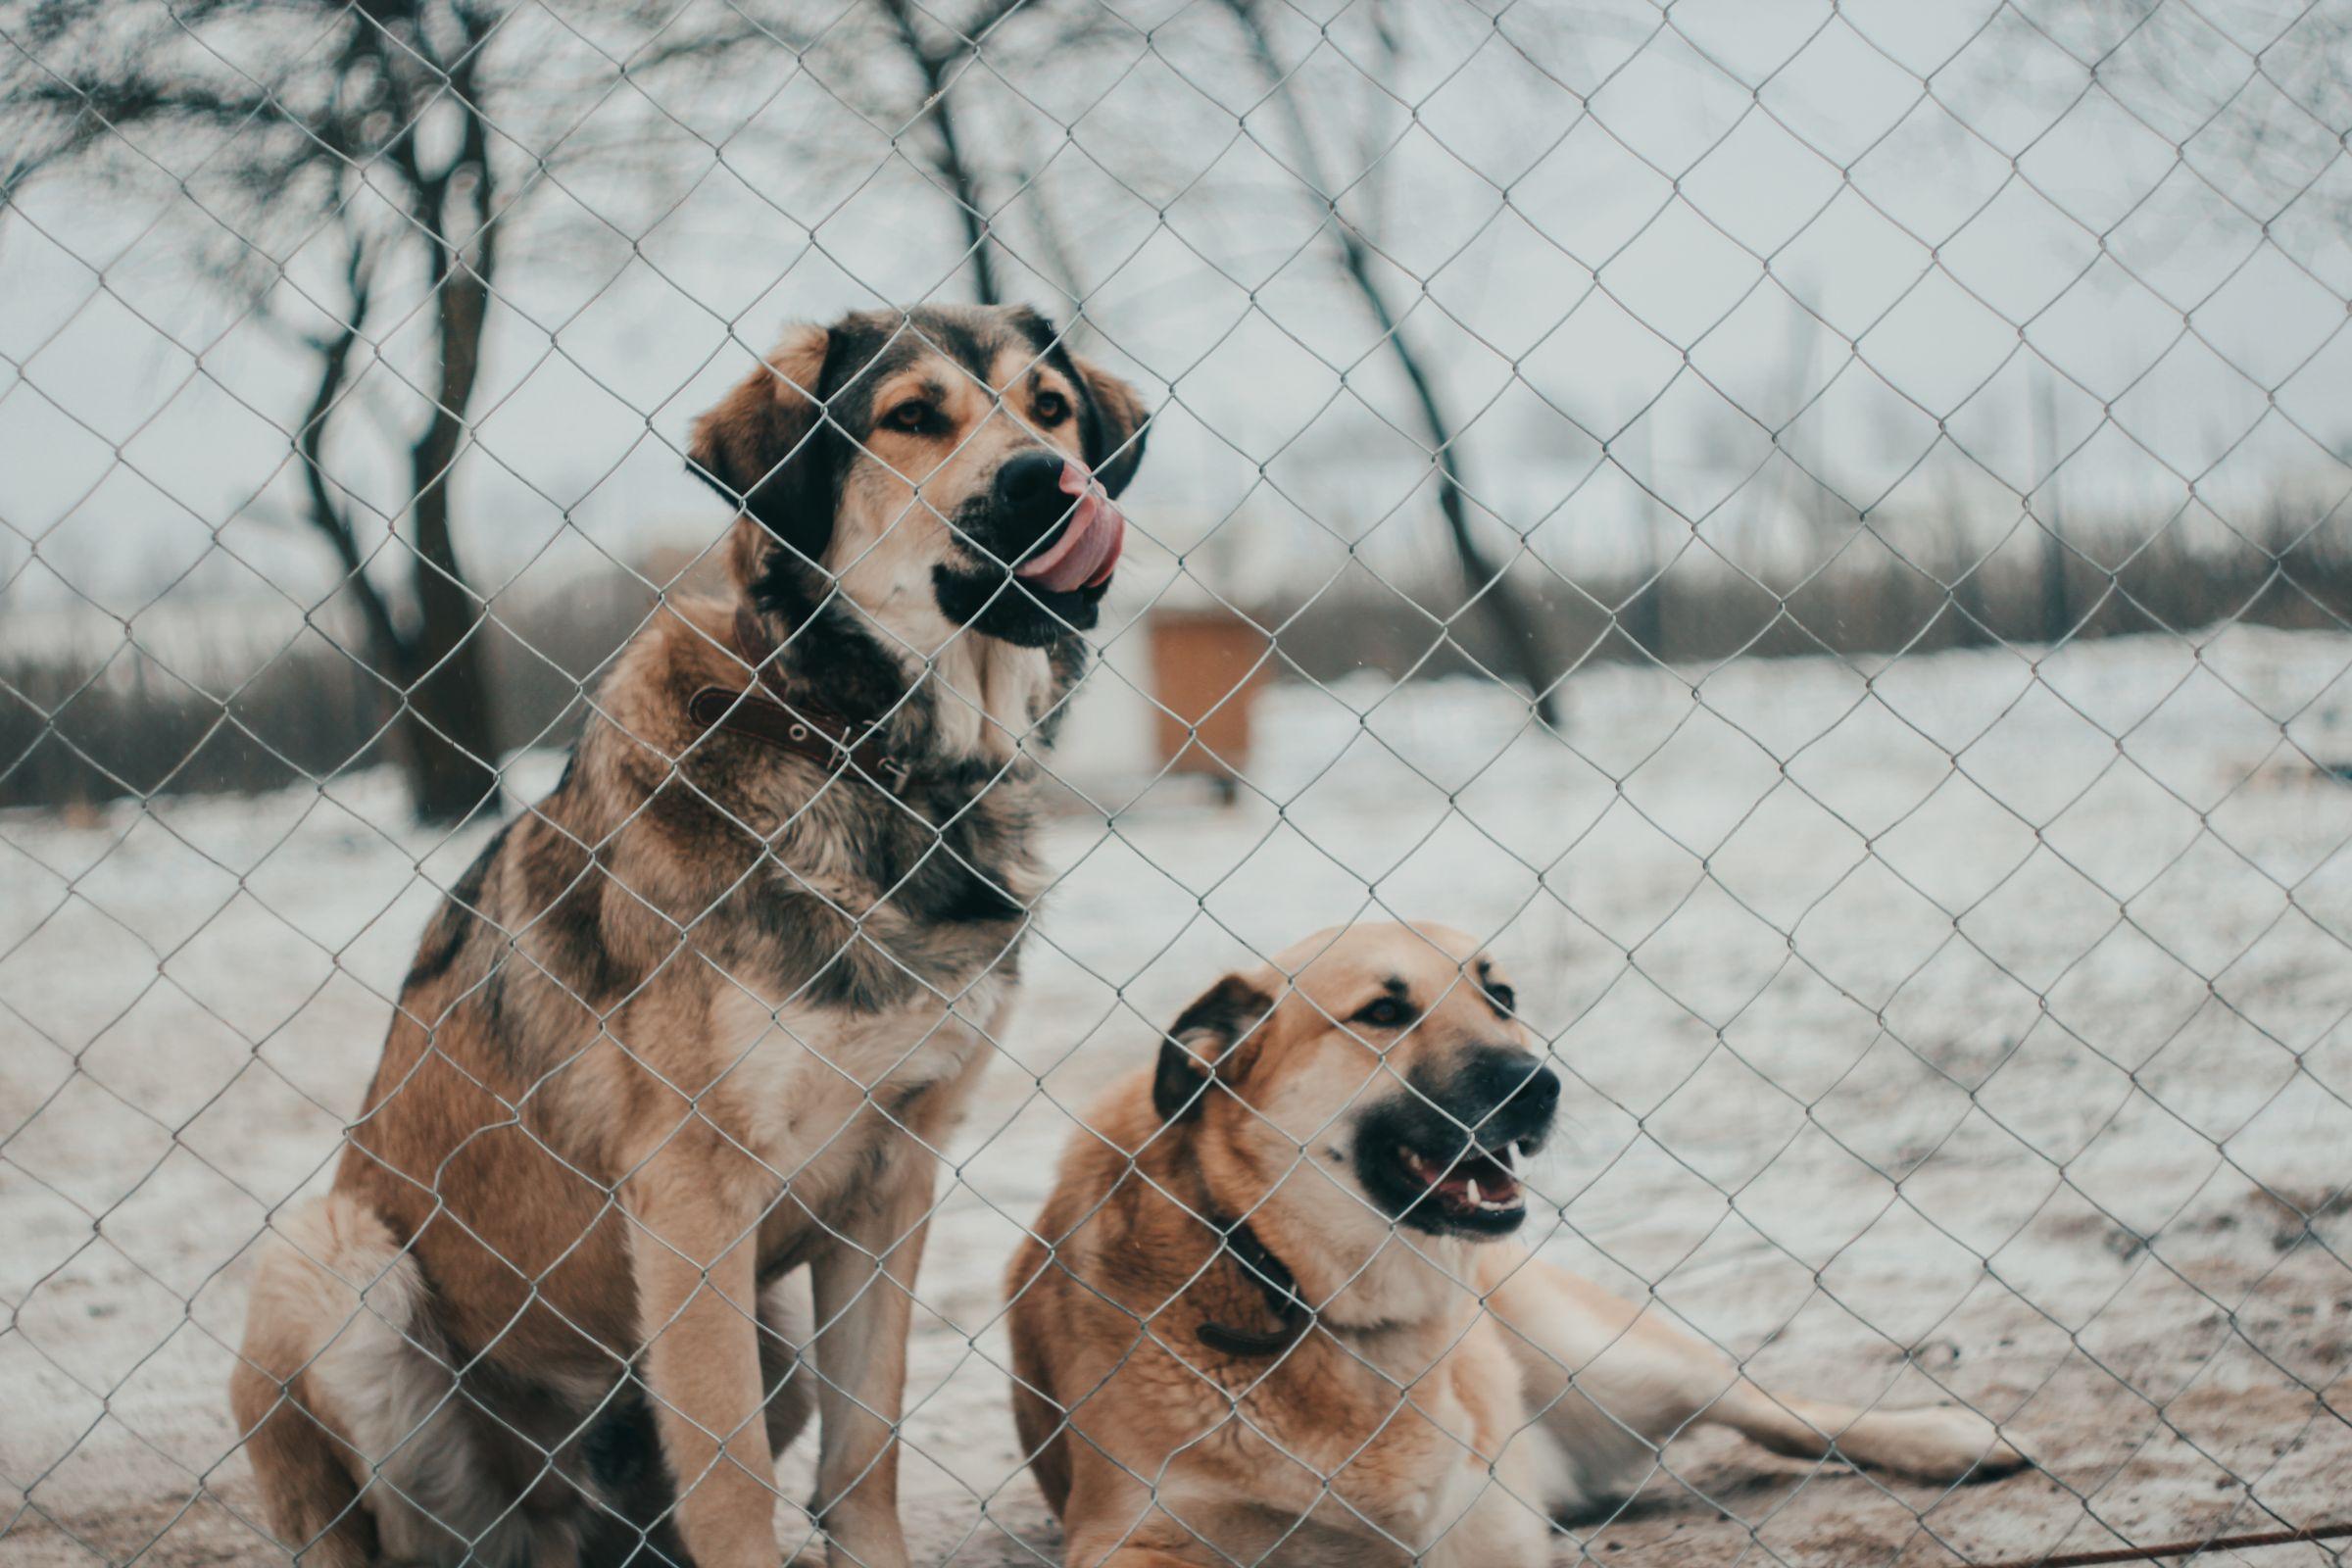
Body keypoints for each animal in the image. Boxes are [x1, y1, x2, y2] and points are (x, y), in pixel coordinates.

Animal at [236, 305, 1148, 1568]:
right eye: (913, 416)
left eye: (1050, 407)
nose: (1047, 482)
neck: (863, 750)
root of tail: (551, 1524)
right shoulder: (690, 1192)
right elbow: (731, 1473)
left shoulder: (892, 1180)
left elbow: (866, 1451)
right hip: (329, 1261)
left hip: (765, 1326)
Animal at [1006, 926, 2023, 1560]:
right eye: (1384, 1012)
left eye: (1499, 995)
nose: (1541, 1085)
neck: (1305, 1294)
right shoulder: (1130, 1537)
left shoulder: (1482, 1529)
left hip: (1603, 1360)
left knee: (1773, 1404)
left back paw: (1949, 1438)